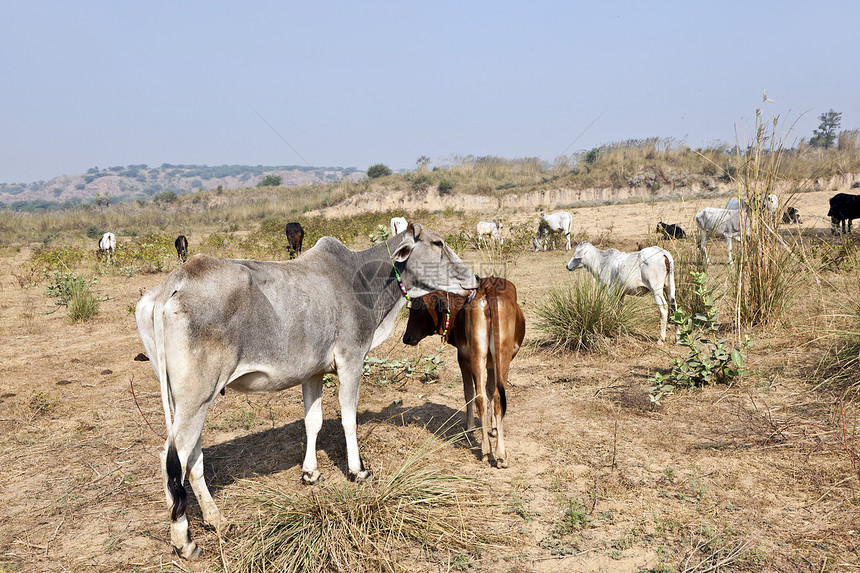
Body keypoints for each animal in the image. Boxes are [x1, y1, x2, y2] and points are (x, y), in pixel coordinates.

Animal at [134, 223, 478, 560]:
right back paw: (185, 540)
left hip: (185, 400)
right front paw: (357, 470)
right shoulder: (352, 360)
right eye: (438, 243)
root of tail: (176, 280)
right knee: (173, 459)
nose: (475, 279)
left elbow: (313, 421)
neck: (361, 278)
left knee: (192, 458)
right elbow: (348, 419)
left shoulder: (312, 372)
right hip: (197, 397)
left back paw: (216, 519)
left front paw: (311, 473)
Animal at [402, 274, 524, 466]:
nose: (406, 337)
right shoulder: (476, 360)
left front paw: (481, 428)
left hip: (479, 356)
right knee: (493, 397)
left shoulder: (472, 360)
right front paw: (485, 428)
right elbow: (482, 391)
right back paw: (498, 454)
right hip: (497, 357)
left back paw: (487, 450)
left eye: (420, 308)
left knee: (481, 396)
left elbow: (477, 392)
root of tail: (489, 288)